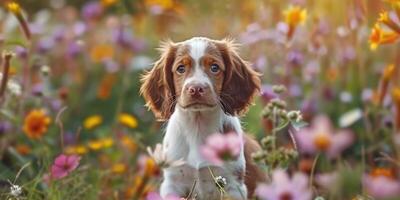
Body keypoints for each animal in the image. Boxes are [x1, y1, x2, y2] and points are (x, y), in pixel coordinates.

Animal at [141, 37, 266, 198]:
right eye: (180, 68)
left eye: (214, 67)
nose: (196, 89)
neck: (197, 125)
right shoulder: (172, 183)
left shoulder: (233, 185)